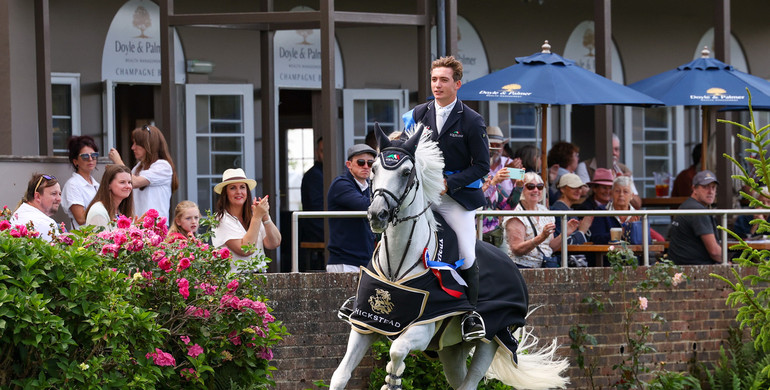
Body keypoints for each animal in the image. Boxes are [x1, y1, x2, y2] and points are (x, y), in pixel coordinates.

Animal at [328, 123, 568, 388]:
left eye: (406, 173)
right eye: (373, 168)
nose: (377, 215)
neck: (397, 266)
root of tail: (510, 262)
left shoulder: (423, 327)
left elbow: (397, 350)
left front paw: (393, 377)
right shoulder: (365, 323)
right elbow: (340, 375)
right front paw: (390, 376)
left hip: (491, 339)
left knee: (471, 381)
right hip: (452, 349)